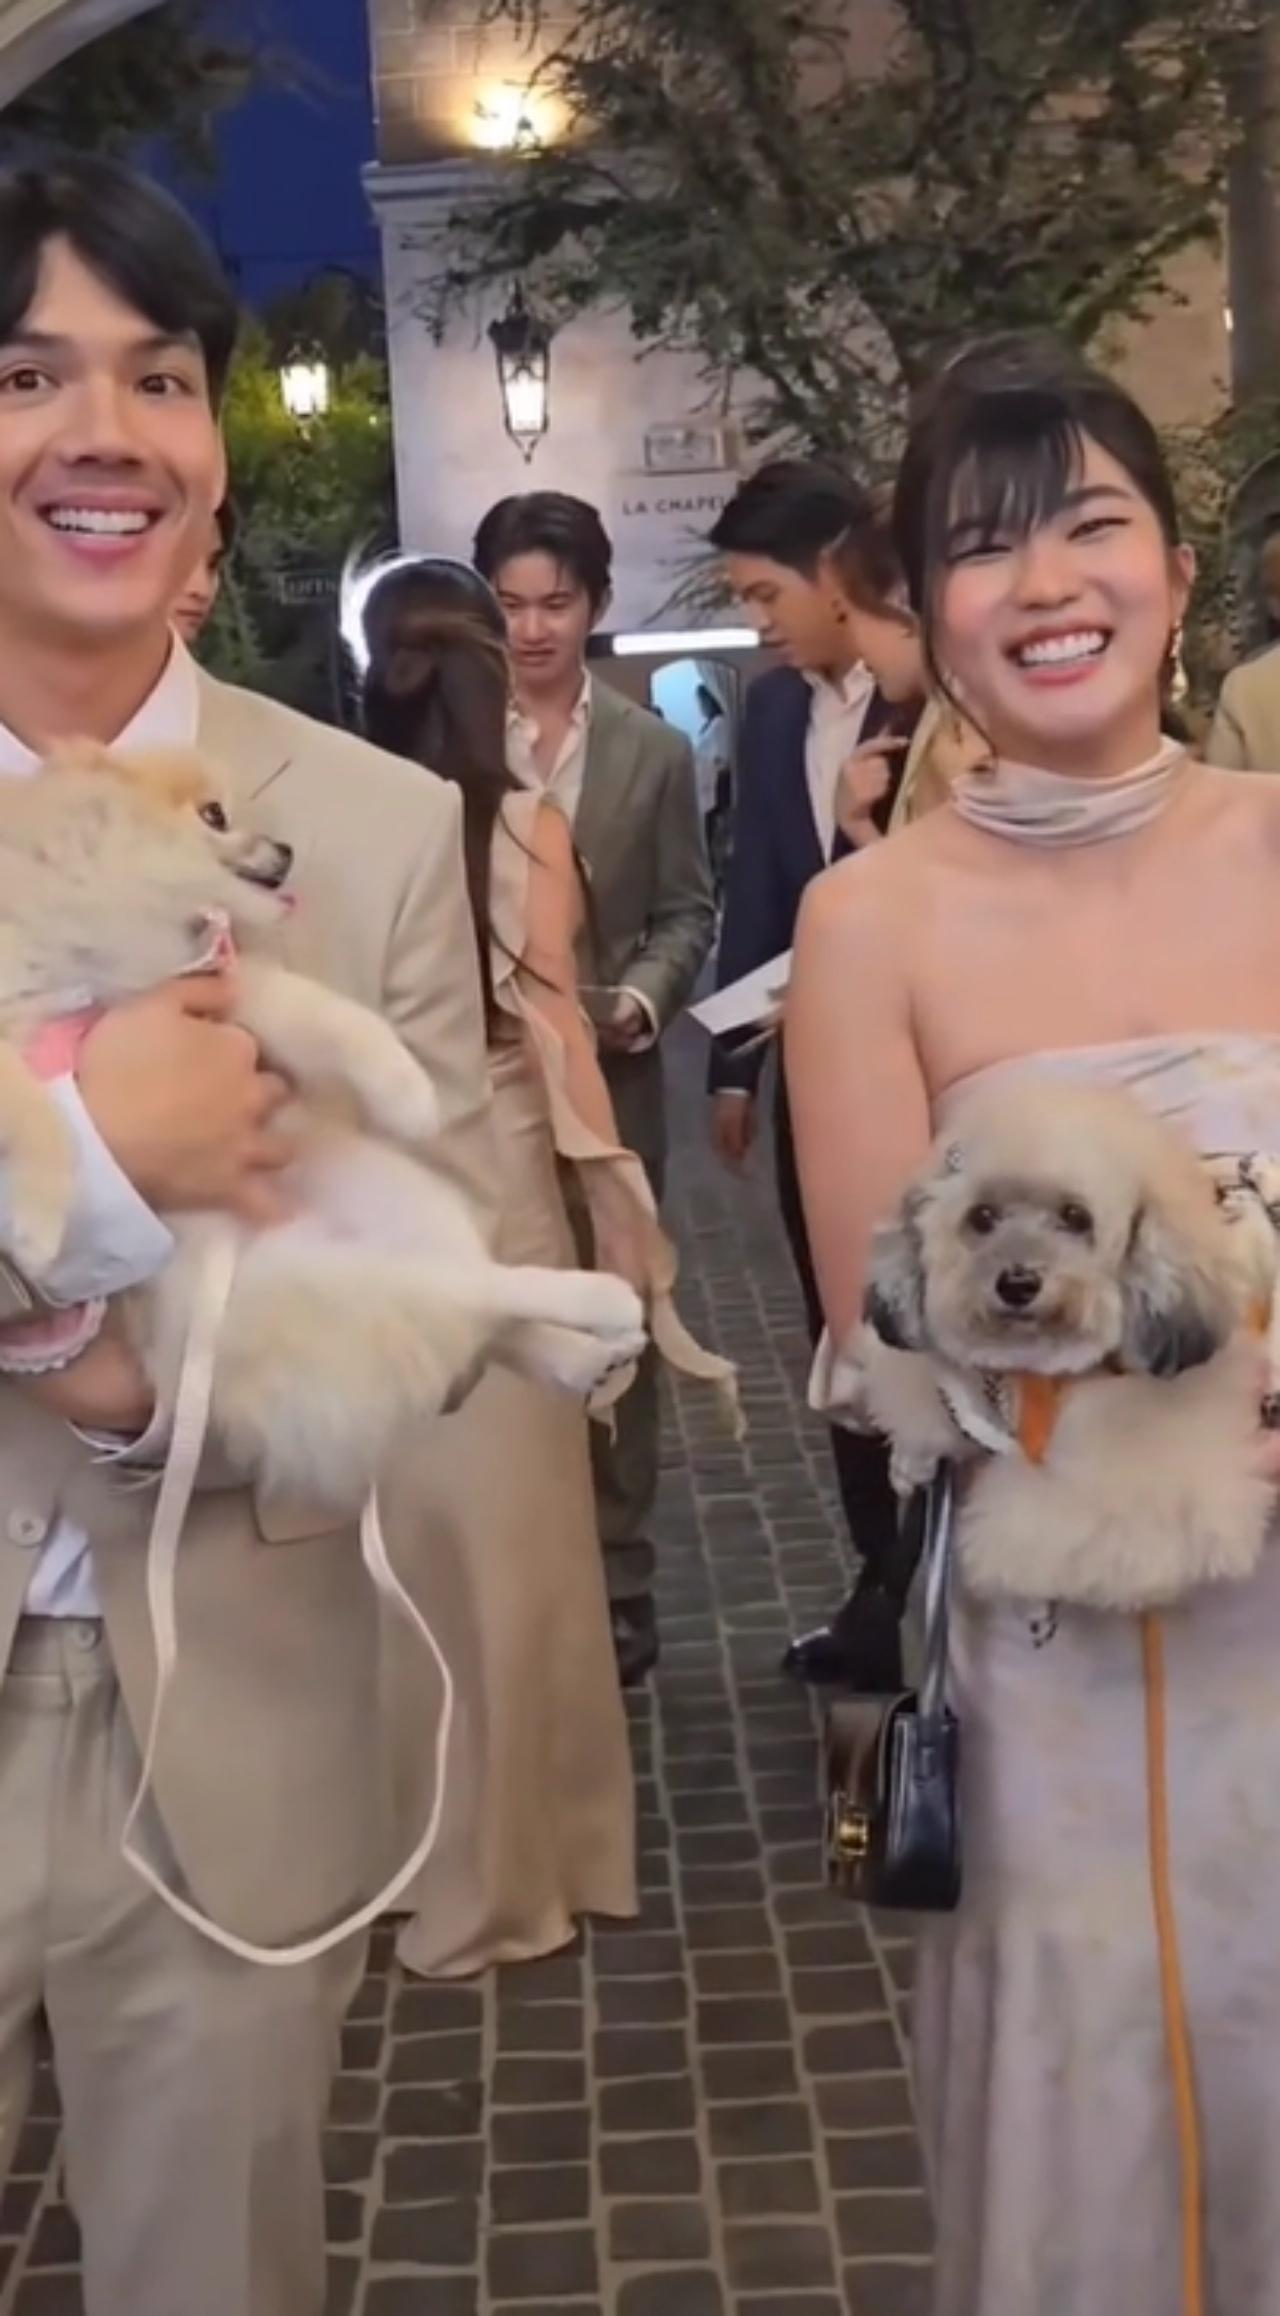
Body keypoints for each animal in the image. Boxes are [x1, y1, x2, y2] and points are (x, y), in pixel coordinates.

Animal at [0, 742, 648, 1515]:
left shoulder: (215, 988)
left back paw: (591, 1336)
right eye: (214, 814)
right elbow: (29, 1108)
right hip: (302, 1295)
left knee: (481, 1297)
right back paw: (598, 1317)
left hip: (388, 1206)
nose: (284, 850)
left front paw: (408, 1094)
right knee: (468, 1303)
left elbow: (324, 1014)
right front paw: (39, 1224)